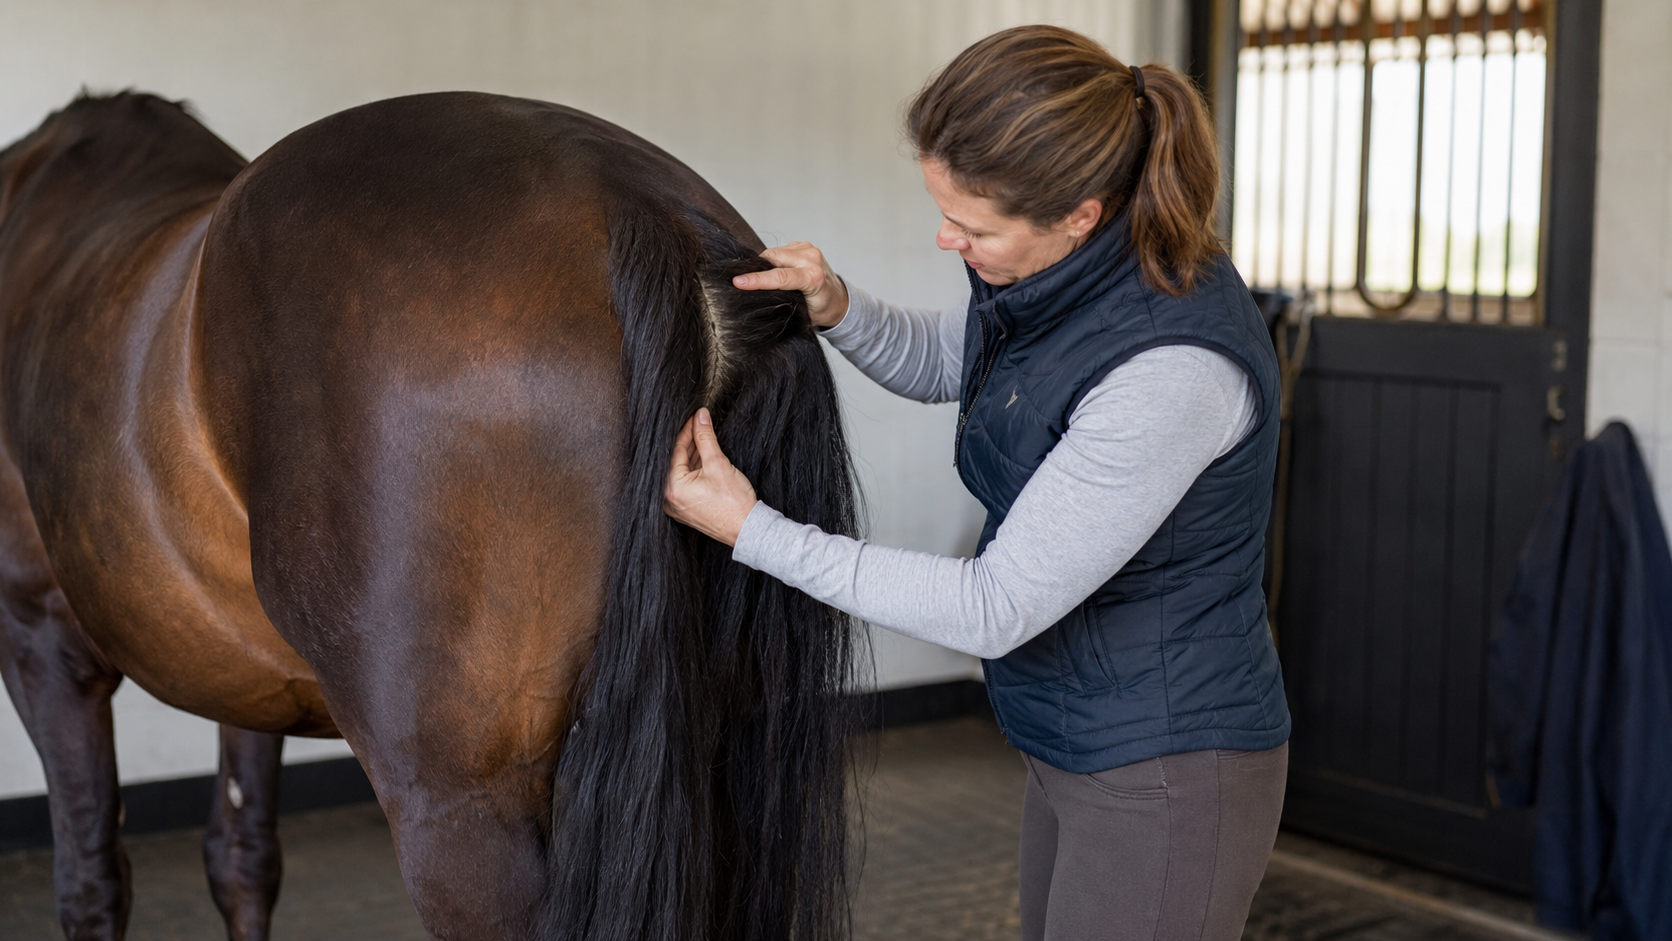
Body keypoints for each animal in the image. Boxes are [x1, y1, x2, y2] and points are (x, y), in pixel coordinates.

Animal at [0, 90, 859, 941]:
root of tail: (642, 206)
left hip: (460, 811)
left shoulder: (43, 645)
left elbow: (92, 881)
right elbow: (241, 859)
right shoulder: (246, 681)